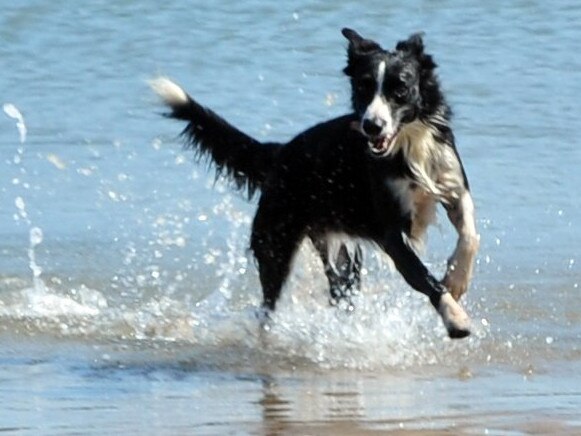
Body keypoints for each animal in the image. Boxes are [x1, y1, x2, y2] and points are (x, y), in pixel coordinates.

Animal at [151, 28, 480, 340]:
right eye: (363, 86)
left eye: (400, 88)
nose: (372, 126)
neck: (408, 144)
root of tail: (280, 152)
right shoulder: (391, 232)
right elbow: (422, 277)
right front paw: (455, 318)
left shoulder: (452, 184)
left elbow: (470, 235)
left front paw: (456, 279)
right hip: (276, 243)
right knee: (268, 306)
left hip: (339, 250)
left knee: (340, 290)